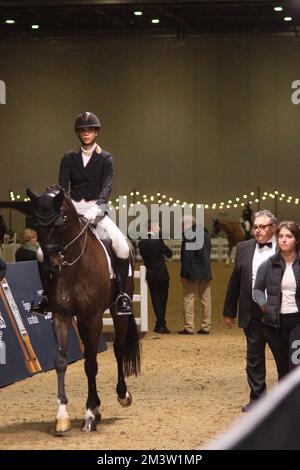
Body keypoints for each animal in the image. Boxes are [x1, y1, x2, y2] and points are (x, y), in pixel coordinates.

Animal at [26, 185, 140, 436]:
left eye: (61, 222)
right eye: (37, 224)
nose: (51, 266)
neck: (73, 266)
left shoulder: (93, 317)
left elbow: (90, 363)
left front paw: (88, 415)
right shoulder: (61, 317)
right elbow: (61, 361)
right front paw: (63, 417)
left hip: (117, 312)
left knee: (118, 348)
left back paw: (122, 395)